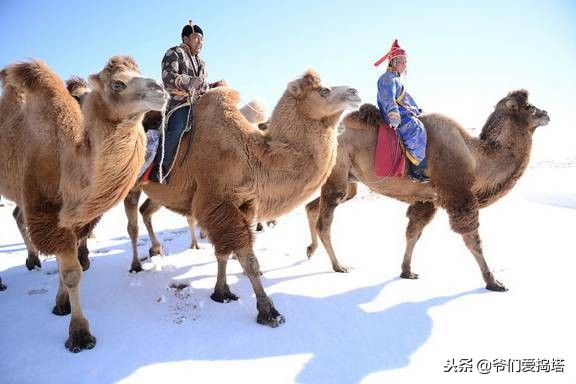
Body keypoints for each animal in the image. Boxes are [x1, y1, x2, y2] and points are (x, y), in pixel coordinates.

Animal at [0, 56, 166, 352]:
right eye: (117, 83)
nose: (160, 89)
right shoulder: (47, 210)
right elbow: (71, 272)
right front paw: (79, 333)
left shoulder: (75, 216)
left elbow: (68, 264)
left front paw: (61, 303)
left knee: (18, 213)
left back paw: (33, 261)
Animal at [127, 70, 360, 326]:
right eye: (323, 90)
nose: (355, 92)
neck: (251, 156)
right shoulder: (217, 202)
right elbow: (249, 261)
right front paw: (268, 311)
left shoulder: (240, 204)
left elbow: (223, 253)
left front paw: (222, 292)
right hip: (131, 183)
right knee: (132, 222)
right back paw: (136, 265)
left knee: (146, 211)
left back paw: (156, 250)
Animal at [306, 91, 548, 292]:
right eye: (529, 107)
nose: (546, 114)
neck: (475, 158)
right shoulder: (458, 194)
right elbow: (473, 240)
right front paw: (493, 282)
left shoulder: (428, 199)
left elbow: (413, 232)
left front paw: (406, 271)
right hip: (338, 170)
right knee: (325, 223)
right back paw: (339, 265)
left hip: (349, 182)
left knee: (313, 206)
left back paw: (311, 250)